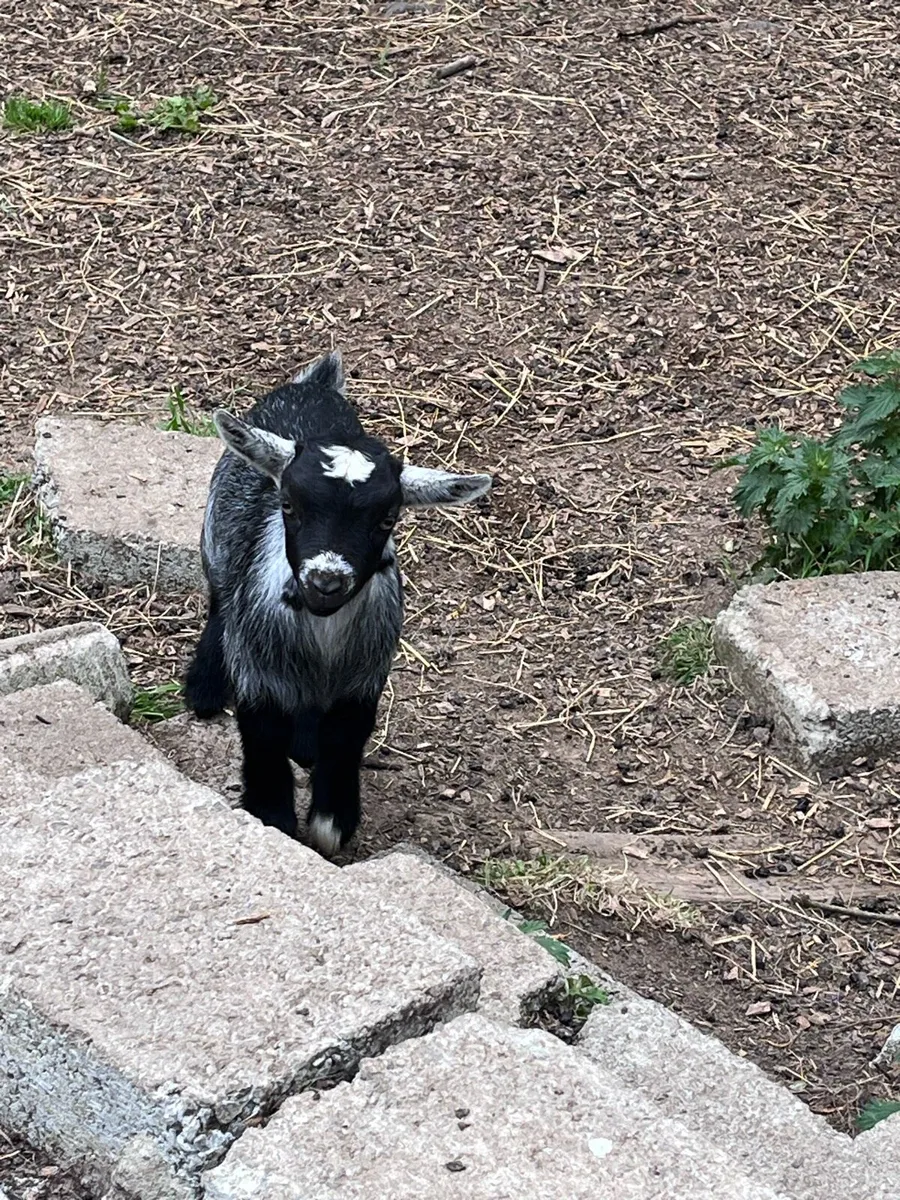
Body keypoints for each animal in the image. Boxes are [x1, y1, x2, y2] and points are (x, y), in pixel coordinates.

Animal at [185, 351, 492, 855]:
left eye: (387, 518)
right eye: (288, 504)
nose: (325, 582)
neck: (322, 639)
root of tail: (316, 384)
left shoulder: (364, 680)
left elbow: (345, 740)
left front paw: (332, 822)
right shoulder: (258, 674)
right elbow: (263, 737)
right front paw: (272, 815)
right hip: (214, 538)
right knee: (219, 596)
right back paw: (205, 685)